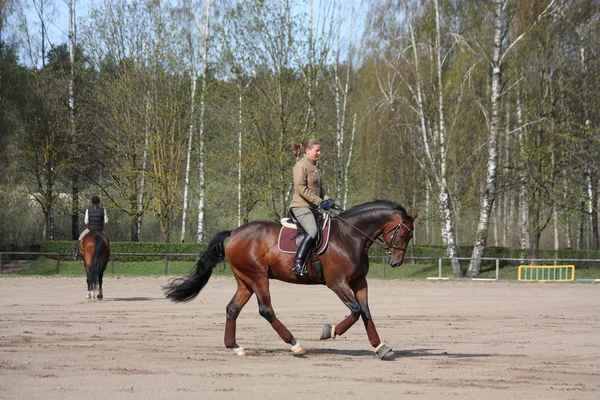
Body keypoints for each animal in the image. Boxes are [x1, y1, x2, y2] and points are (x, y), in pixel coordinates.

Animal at [164, 200, 418, 360]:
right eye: (404, 234)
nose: (396, 262)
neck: (351, 236)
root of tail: (234, 232)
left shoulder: (359, 283)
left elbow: (365, 313)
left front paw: (380, 347)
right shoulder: (337, 283)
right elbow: (355, 311)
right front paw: (329, 331)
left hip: (245, 280)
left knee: (232, 309)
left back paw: (235, 347)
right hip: (258, 277)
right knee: (266, 310)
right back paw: (295, 345)